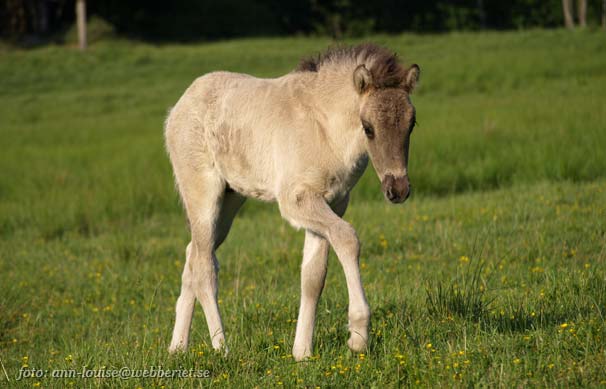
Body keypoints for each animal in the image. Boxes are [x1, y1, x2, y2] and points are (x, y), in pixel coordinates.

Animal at [166, 43, 422, 360]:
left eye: (411, 124)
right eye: (368, 127)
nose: (397, 189)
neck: (324, 128)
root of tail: (179, 107)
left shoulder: (333, 202)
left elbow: (313, 277)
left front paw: (302, 352)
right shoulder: (296, 201)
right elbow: (347, 238)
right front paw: (358, 335)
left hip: (229, 202)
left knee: (194, 254)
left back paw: (177, 347)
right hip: (203, 195)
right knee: (203, 267)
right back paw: (221, 346)